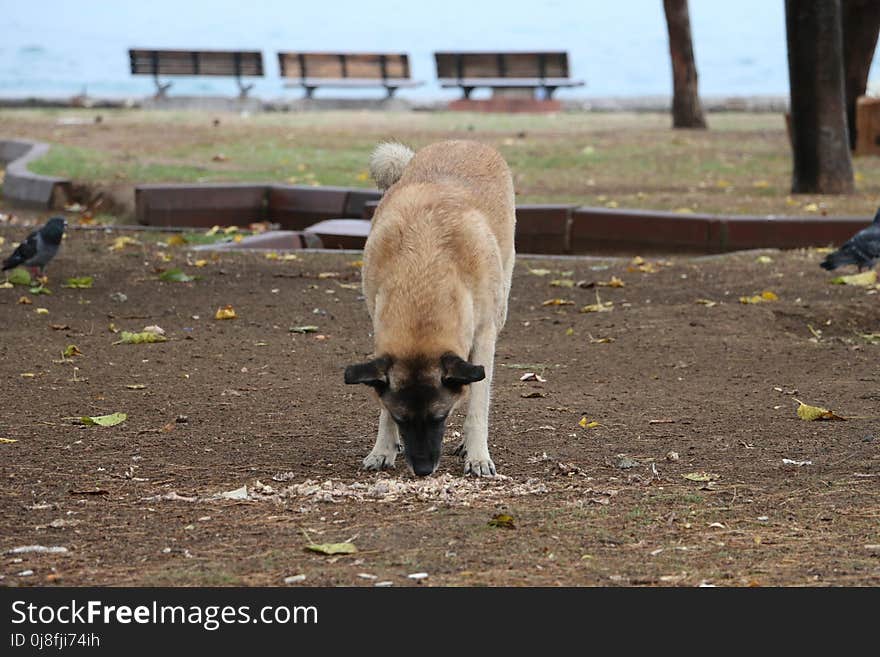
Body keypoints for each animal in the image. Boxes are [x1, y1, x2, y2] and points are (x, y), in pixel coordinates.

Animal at [344, 140, 516, 476]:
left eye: (440, 417)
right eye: (401, 418)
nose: (423, 469)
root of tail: (463, 141)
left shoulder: (484, 336)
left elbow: (478, 403)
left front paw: (478, 455)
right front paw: (383, 449)